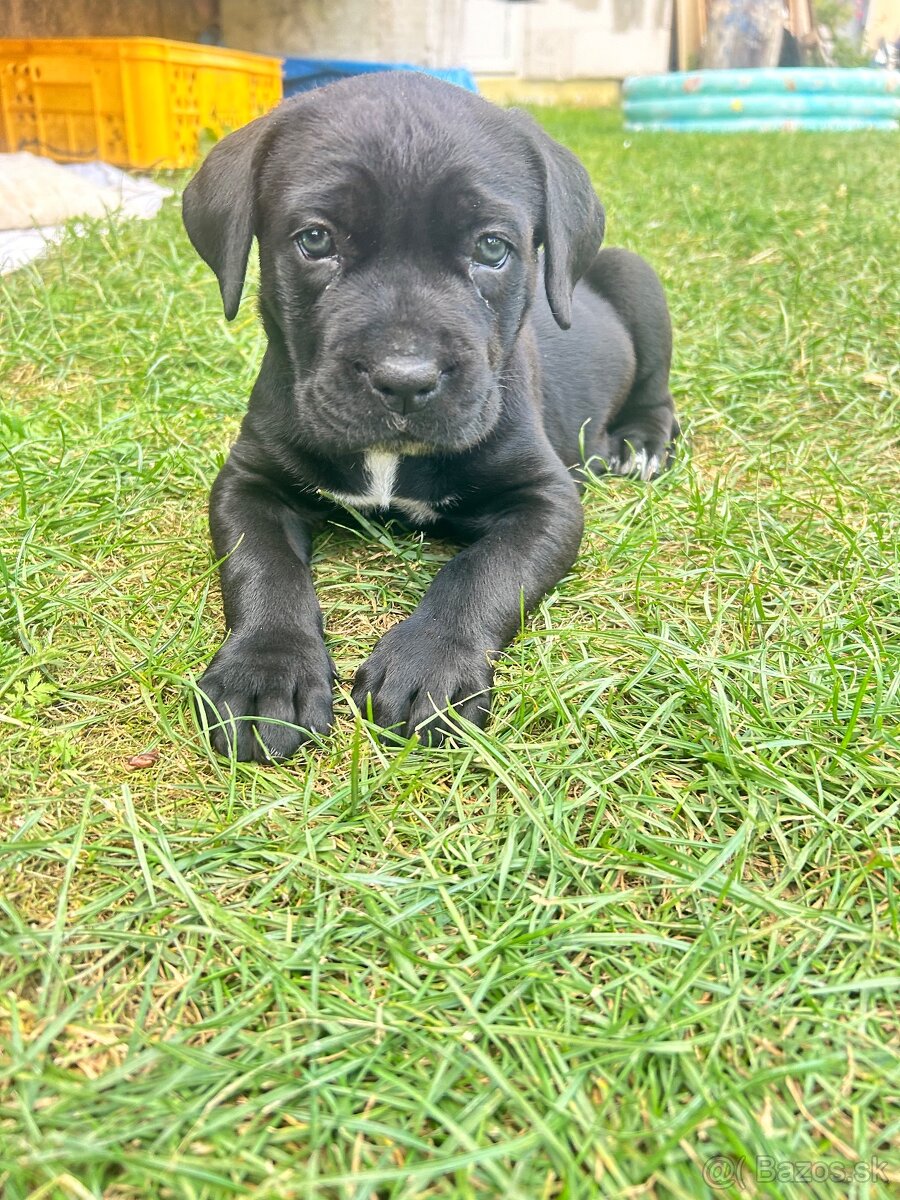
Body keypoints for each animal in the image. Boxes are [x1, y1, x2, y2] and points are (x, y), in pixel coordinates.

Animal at [181, 72, 676, 758]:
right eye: (316, 239)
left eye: (492, 248)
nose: (405, 381)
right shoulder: (247, 481)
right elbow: (262, 566)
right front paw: (265, 674)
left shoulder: (546, 500)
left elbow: (483, 572)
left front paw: (429, 664)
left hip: (638, 279)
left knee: (659, 394)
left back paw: (639, 445)